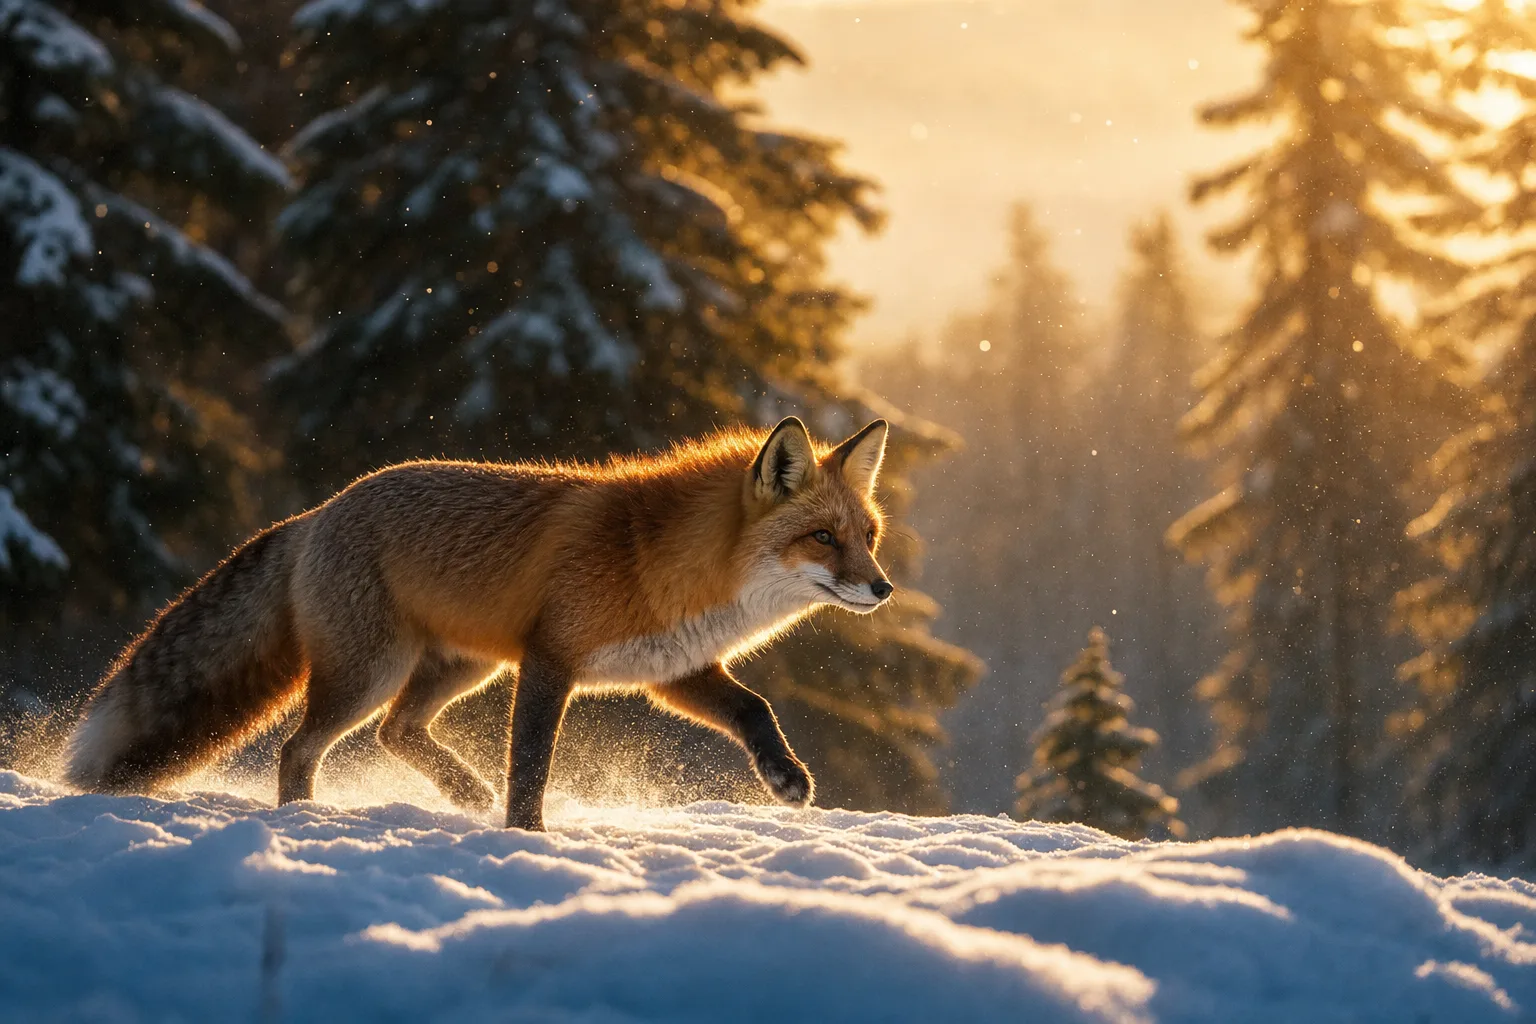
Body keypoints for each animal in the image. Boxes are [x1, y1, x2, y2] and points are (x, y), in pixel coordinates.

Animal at [64, 417, 894, 830]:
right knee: (303, 747)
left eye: (868, 536)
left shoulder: (673, 670)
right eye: (823, 538)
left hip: (462, 667)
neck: (659, 560)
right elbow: (530, 762)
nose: (883, 588)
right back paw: (304, 818)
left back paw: (460, 790)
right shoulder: (550, 660)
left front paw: (786, 778)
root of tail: (319, 511)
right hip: (372, 672)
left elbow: (754, 709)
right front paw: (528, 837)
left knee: (394, 731)